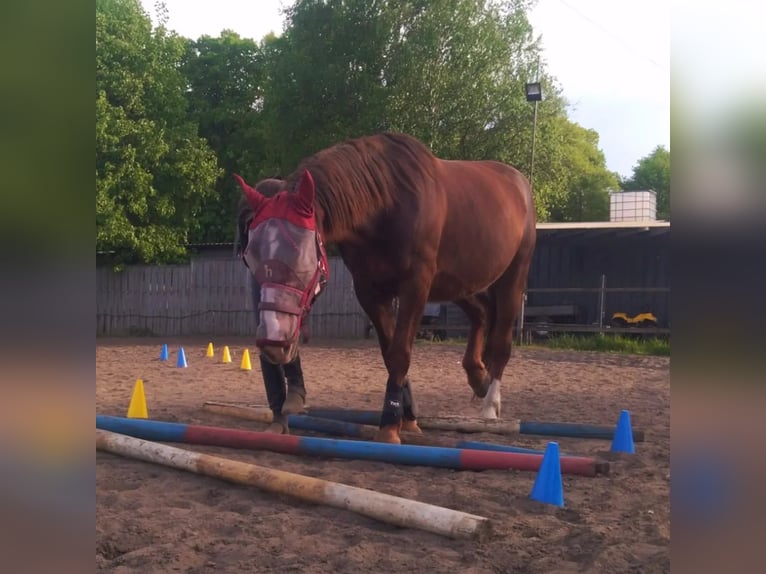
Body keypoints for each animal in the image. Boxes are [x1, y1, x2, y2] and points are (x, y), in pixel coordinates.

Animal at [237, 134, 536, 446]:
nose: (273, 343)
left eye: (302, 256)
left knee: (501, 340)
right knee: (482, 314)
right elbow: (389, 352)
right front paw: (406, 418)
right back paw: (478, 376)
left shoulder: (415, 286)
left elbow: (400, 353)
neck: (386, 204)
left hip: (512, 278)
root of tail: (518, 183)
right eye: (251, 255)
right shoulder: (370, 291)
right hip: (456, 284)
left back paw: (490, 405)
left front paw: (390, 426)